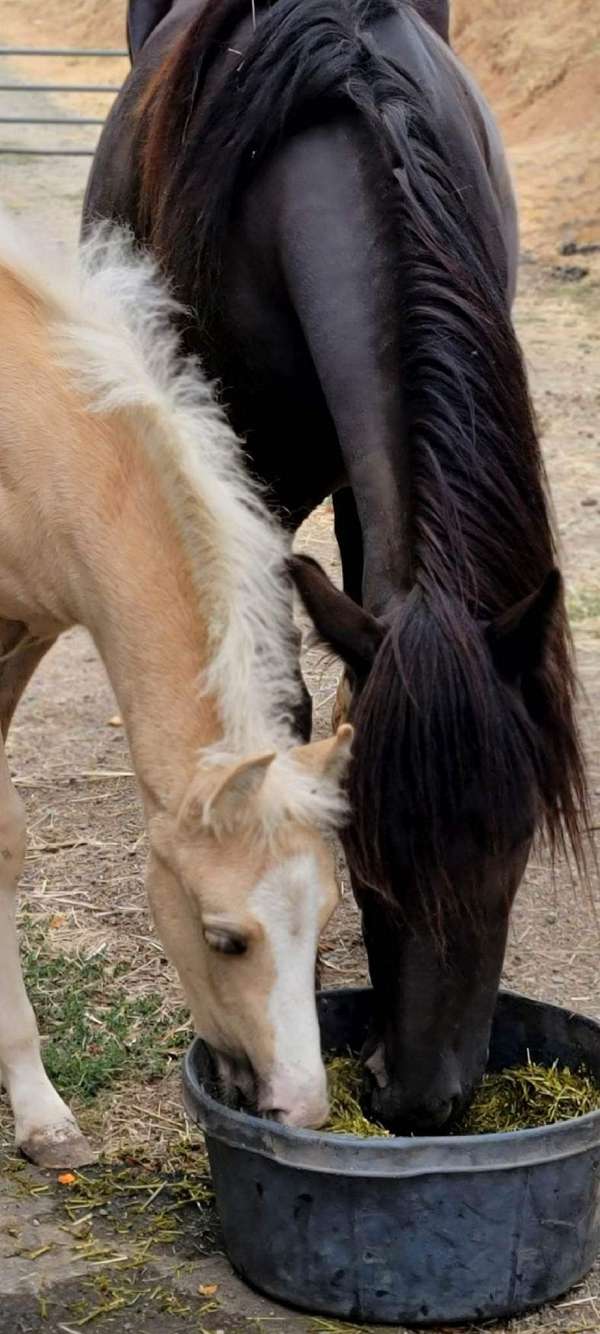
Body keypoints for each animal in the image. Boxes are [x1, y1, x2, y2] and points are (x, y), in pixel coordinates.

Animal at [84, 0, 586, 1125]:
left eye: (517, 847)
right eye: (365, 858)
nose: (422, 1104)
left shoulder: (369, 496)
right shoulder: (250, 486)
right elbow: (284, 708)